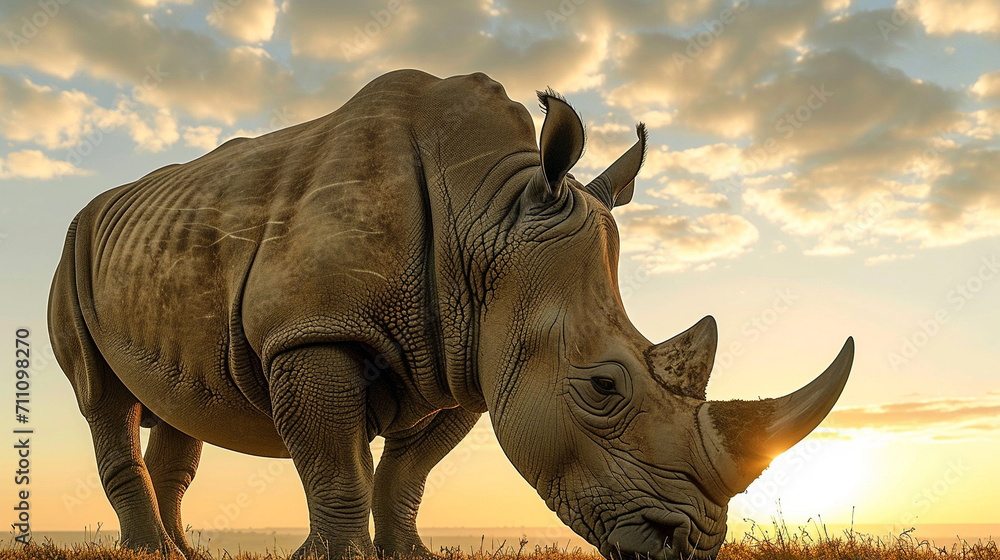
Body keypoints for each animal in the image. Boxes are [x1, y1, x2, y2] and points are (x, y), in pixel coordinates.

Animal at [48, 69, 853, 560]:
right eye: (602, 387)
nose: (690, 545)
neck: (486, 214)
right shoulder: (312, 334)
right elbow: (333, 462)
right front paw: (333, 557)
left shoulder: (468, 356)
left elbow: (408, 472)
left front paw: (412, 555)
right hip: (73, 248)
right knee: (102, 398)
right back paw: (151, 549)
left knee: (179, 406)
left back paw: (183, 553)